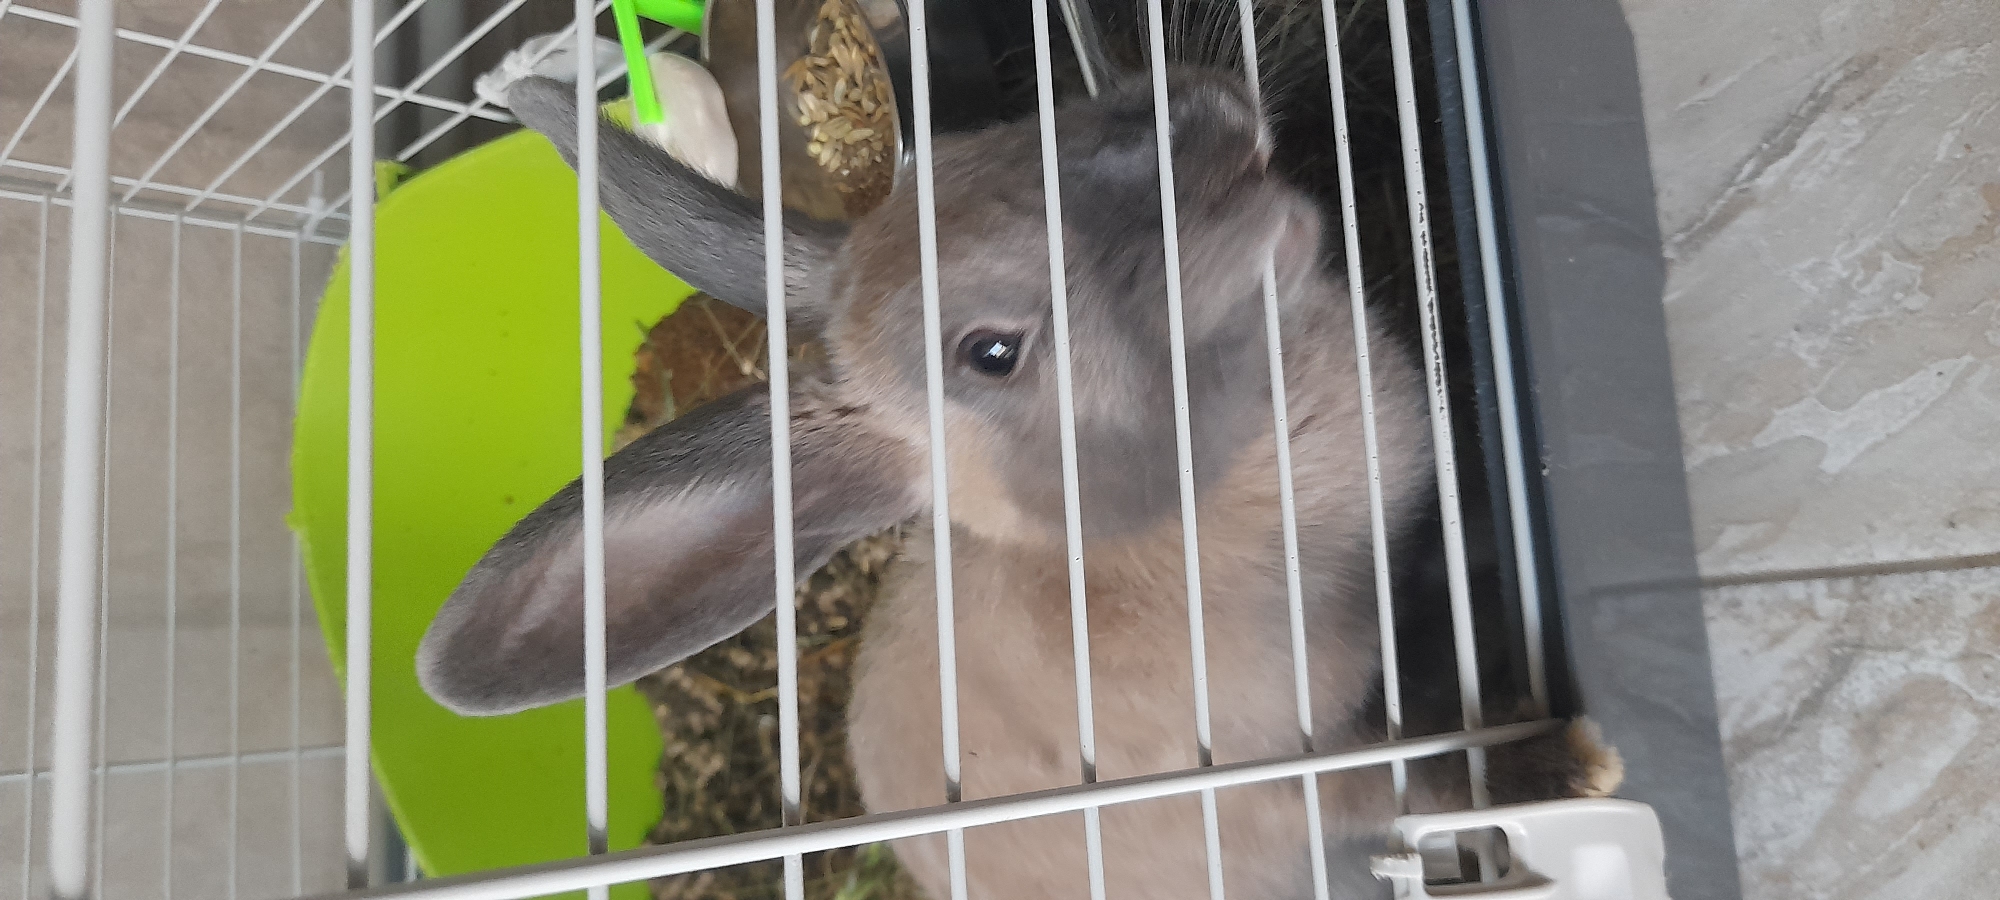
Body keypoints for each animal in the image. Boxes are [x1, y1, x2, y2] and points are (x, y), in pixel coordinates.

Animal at [418, 68, 1618, 900]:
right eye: (989, 355)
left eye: (966, 151)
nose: (1180, 128)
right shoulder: (1288, 777)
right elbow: (1414, 781)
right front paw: (1567, 766)